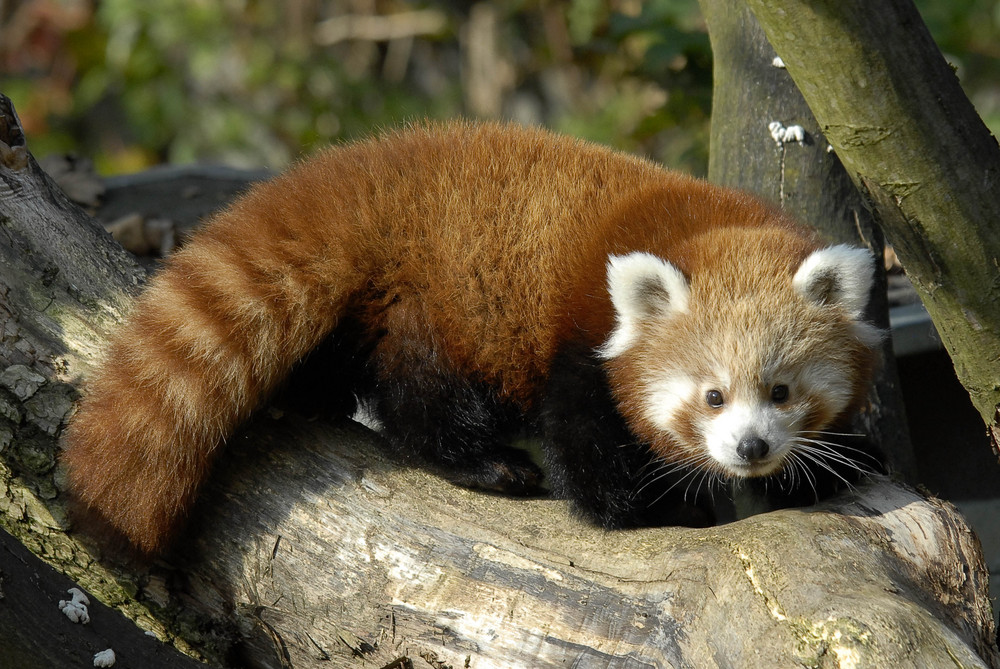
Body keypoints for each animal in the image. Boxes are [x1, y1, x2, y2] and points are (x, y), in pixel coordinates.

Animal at [60, 118, 884, 552]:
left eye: (781, 391)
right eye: (711, 397)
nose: (751, 448)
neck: (697, 223)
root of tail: (375, 168)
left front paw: (828, 469)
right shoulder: (580, 342)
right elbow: (587, 445)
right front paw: (651, 512)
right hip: (442, 305)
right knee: (424, 401)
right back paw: (488, 465)